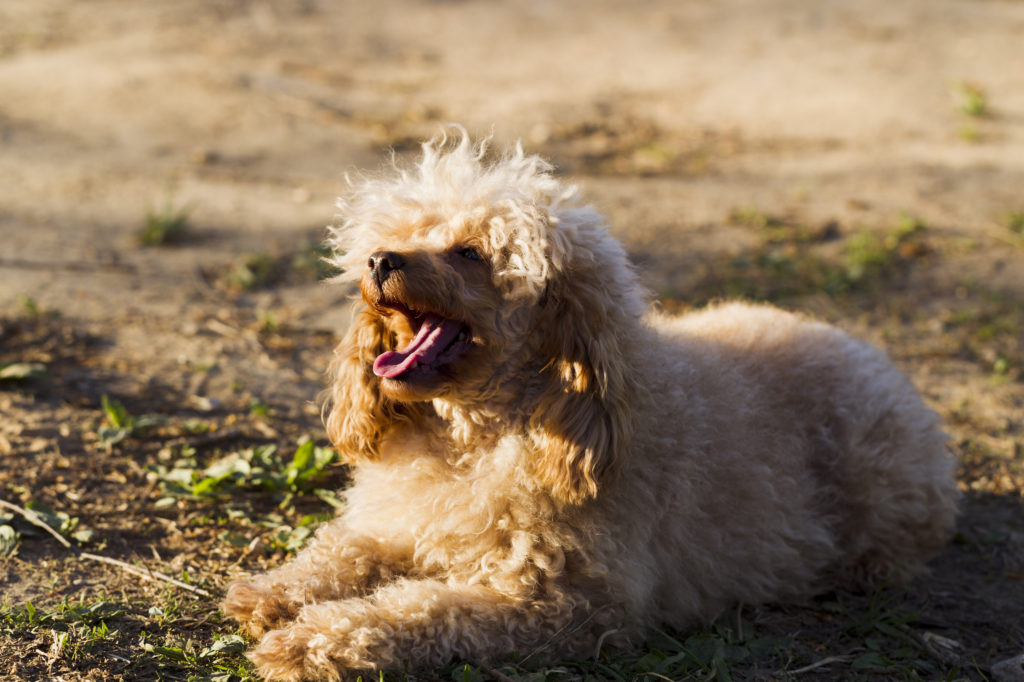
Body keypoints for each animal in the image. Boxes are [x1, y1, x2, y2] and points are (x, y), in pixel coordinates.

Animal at [224, 130, 958, 675]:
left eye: (470, 253)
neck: (478, 437)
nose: (379, 261)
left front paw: (312, 641)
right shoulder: (397, 525)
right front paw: (271, 592)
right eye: (403, 236)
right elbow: (339, 552)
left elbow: (419, 610)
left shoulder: (559, 600)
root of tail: (875, 355)